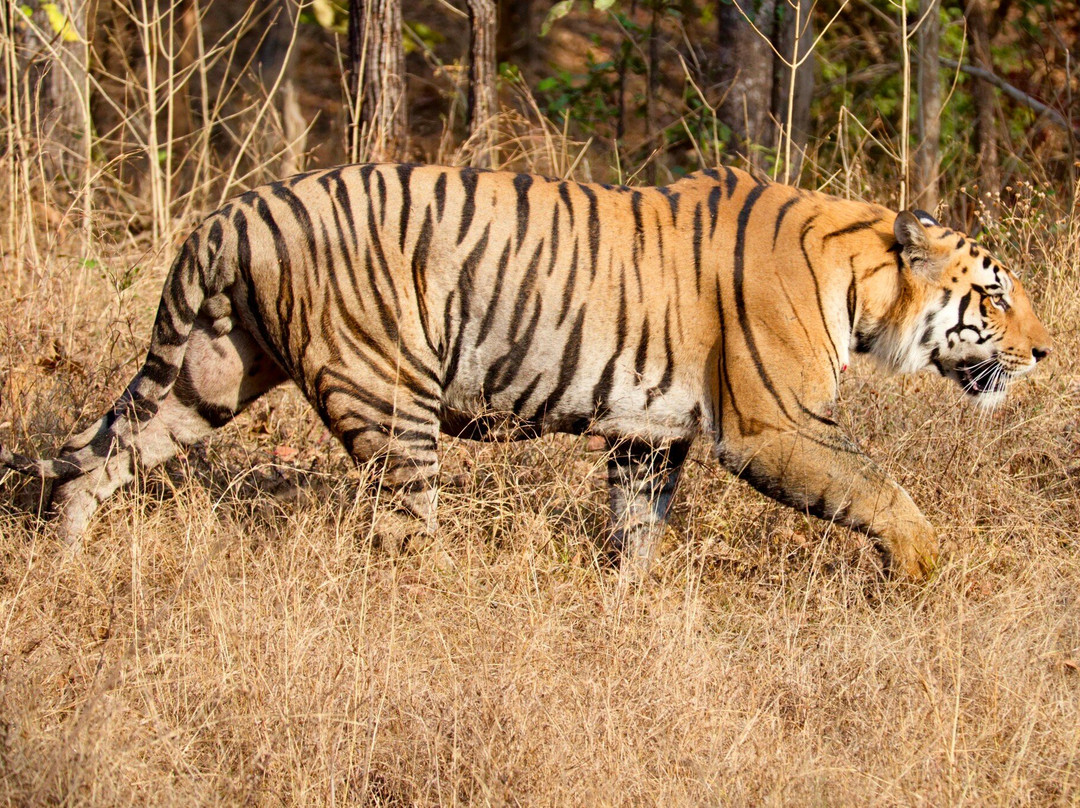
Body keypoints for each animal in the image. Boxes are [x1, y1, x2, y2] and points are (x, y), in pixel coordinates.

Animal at [0, 163, 1052, 581]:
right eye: (996, 296)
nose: (1045, 352)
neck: (863, 285)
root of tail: (233, 211)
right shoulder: (772, 426)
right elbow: (878, 485)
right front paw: (927, 566)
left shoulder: (646, 433)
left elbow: (637, 530)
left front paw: (628, 610)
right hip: (392, 399)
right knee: (400, 531)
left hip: (209, 374)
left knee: (104, 455)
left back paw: (63, 556)